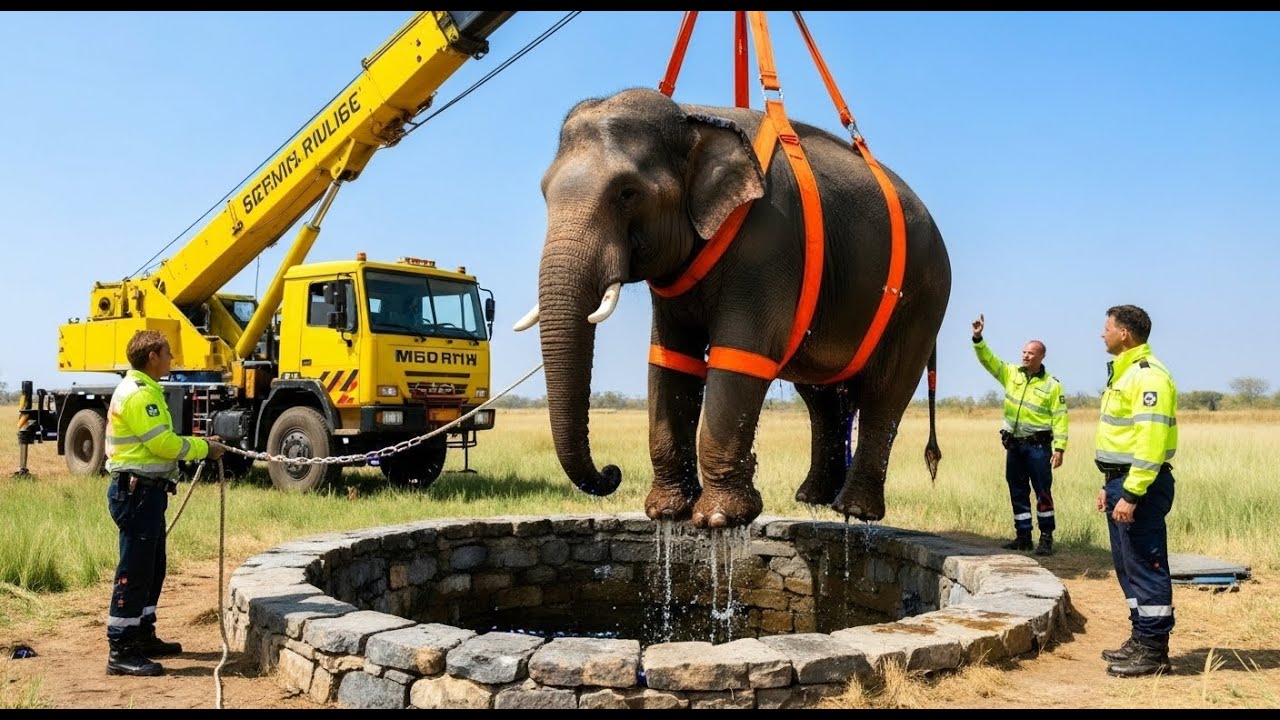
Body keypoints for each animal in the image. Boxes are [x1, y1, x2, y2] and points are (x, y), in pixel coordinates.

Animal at [515, 87, 951, 528]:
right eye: (544, 193)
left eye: (627, 193)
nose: (611, 472)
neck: (693, 119)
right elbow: (670, 361)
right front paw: (666, 512)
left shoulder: (767, 240)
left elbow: (739, 356)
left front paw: (718, 519)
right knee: (822, 395)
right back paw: (812, 499)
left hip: (923, 296)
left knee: (886, 389)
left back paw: (855, 511)